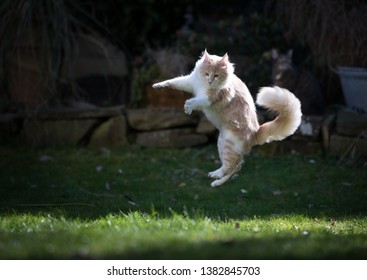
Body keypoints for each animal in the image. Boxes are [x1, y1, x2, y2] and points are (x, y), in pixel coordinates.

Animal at [152, 50, 302, 187]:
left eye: (216, 75)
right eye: (206, 74)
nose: (210, 81)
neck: (203, 84)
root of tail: (256, 132)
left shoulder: (208, 98)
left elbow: (197, 101)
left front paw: (188, 106)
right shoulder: (190, 82)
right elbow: (174, 82)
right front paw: (158, 86)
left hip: (228, 144)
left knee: (231, 166)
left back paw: (216, 176)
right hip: (221, 142)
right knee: (236, 167)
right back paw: (216, 180)